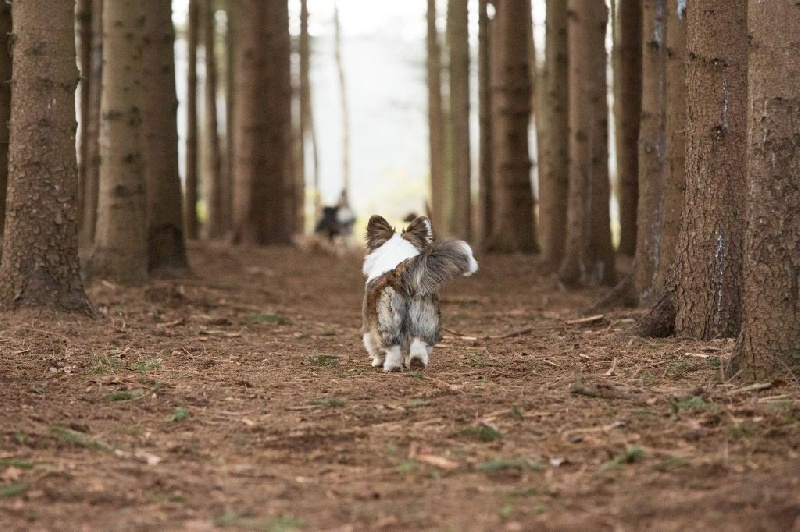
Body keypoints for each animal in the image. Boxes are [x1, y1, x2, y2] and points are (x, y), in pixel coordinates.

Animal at [360, 214, 478, 372]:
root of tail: (401, 275)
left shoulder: (369, 328)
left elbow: (376, 348)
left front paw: (377, 361)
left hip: (387, 320)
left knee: (392, 348)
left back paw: (391, 367)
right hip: (424, 318)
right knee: (419, 346)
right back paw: (416, 364)